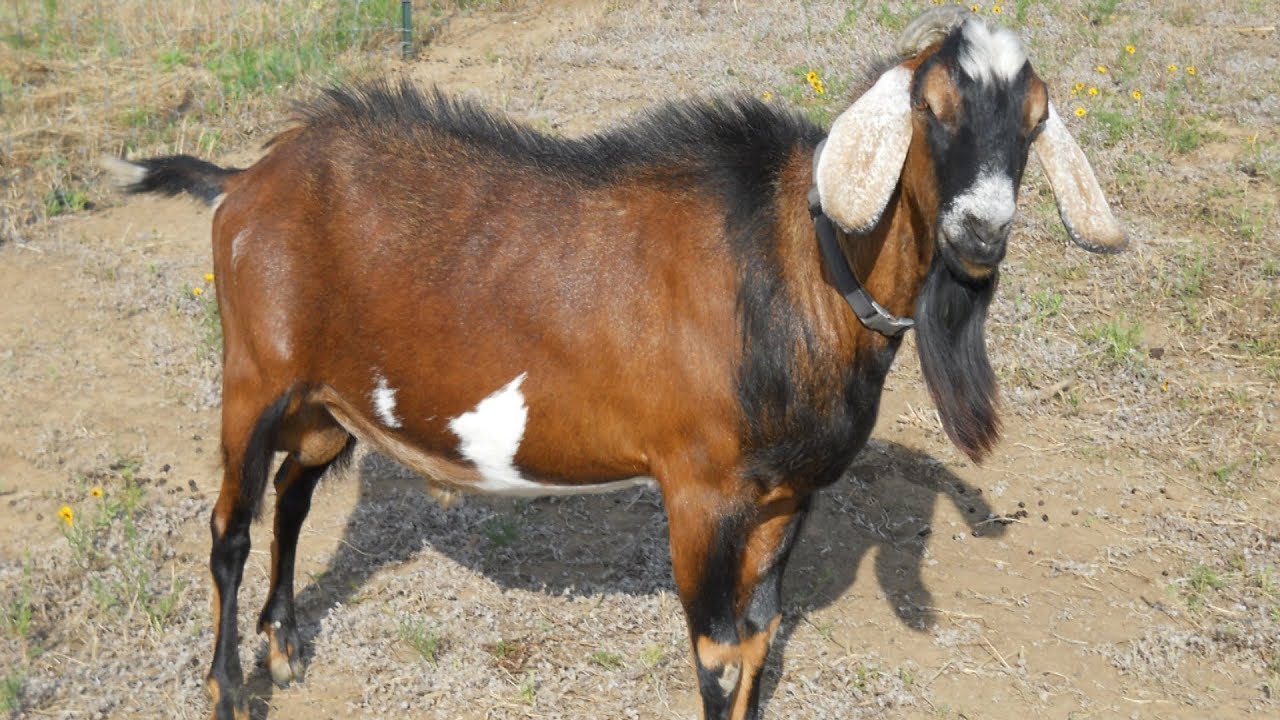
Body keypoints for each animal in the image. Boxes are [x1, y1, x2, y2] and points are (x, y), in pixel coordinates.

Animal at [108, 7, 1124, 719]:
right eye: (932, 109)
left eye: (1034, 122)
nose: (981, 233)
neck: (795, 261)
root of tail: (245, 182)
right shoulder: (700, 492)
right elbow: (717, 657)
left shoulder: (786, 497)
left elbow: (759, 643)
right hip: (254, 378)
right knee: (229, 528)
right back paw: (228, 690)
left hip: (329, 401)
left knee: (292, 496)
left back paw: (285, 646)